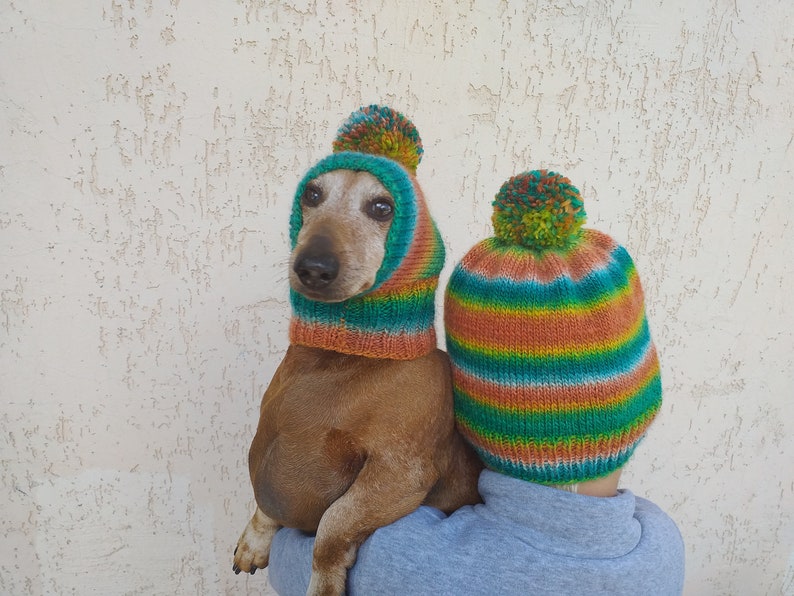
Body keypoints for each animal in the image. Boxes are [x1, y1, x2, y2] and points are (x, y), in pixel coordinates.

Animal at [232, 168, 480, 596]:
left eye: (382, 206)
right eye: (312, 194)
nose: (313, 266)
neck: (341, 358)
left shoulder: (398, 474)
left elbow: (333, 523)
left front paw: (323, 583)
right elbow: (265, 501)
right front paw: (255, 539)